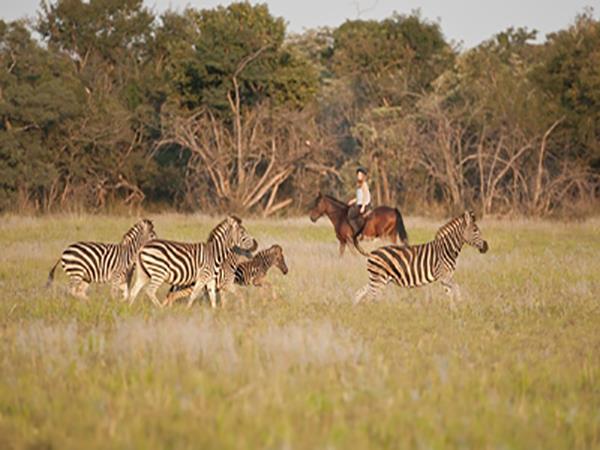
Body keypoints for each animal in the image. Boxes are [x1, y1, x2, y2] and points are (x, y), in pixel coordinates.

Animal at [127, 215, 256, 308]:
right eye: (243, 232)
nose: (255, 243)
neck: (214, 253)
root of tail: (143, 247)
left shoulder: (210, 279)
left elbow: (213, 297)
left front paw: (214, 314)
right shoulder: (203, 277)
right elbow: (194, 294)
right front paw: (188, 309)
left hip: (144, 273)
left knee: (134, 291)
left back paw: (129, 309)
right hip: (159, 272)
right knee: (150, 291)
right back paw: (161, 310)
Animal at [356, 212, 488, 304]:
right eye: (475, 230)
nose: (486, 247)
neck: (447, 249)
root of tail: (371, 253)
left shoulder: (447, 277)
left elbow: (450, 292)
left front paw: (453, 309)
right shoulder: (443, 276)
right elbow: (456, 287)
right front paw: (460, 304)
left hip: (378, 279)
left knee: (361, 292)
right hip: (379, 279)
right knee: (372, 297)